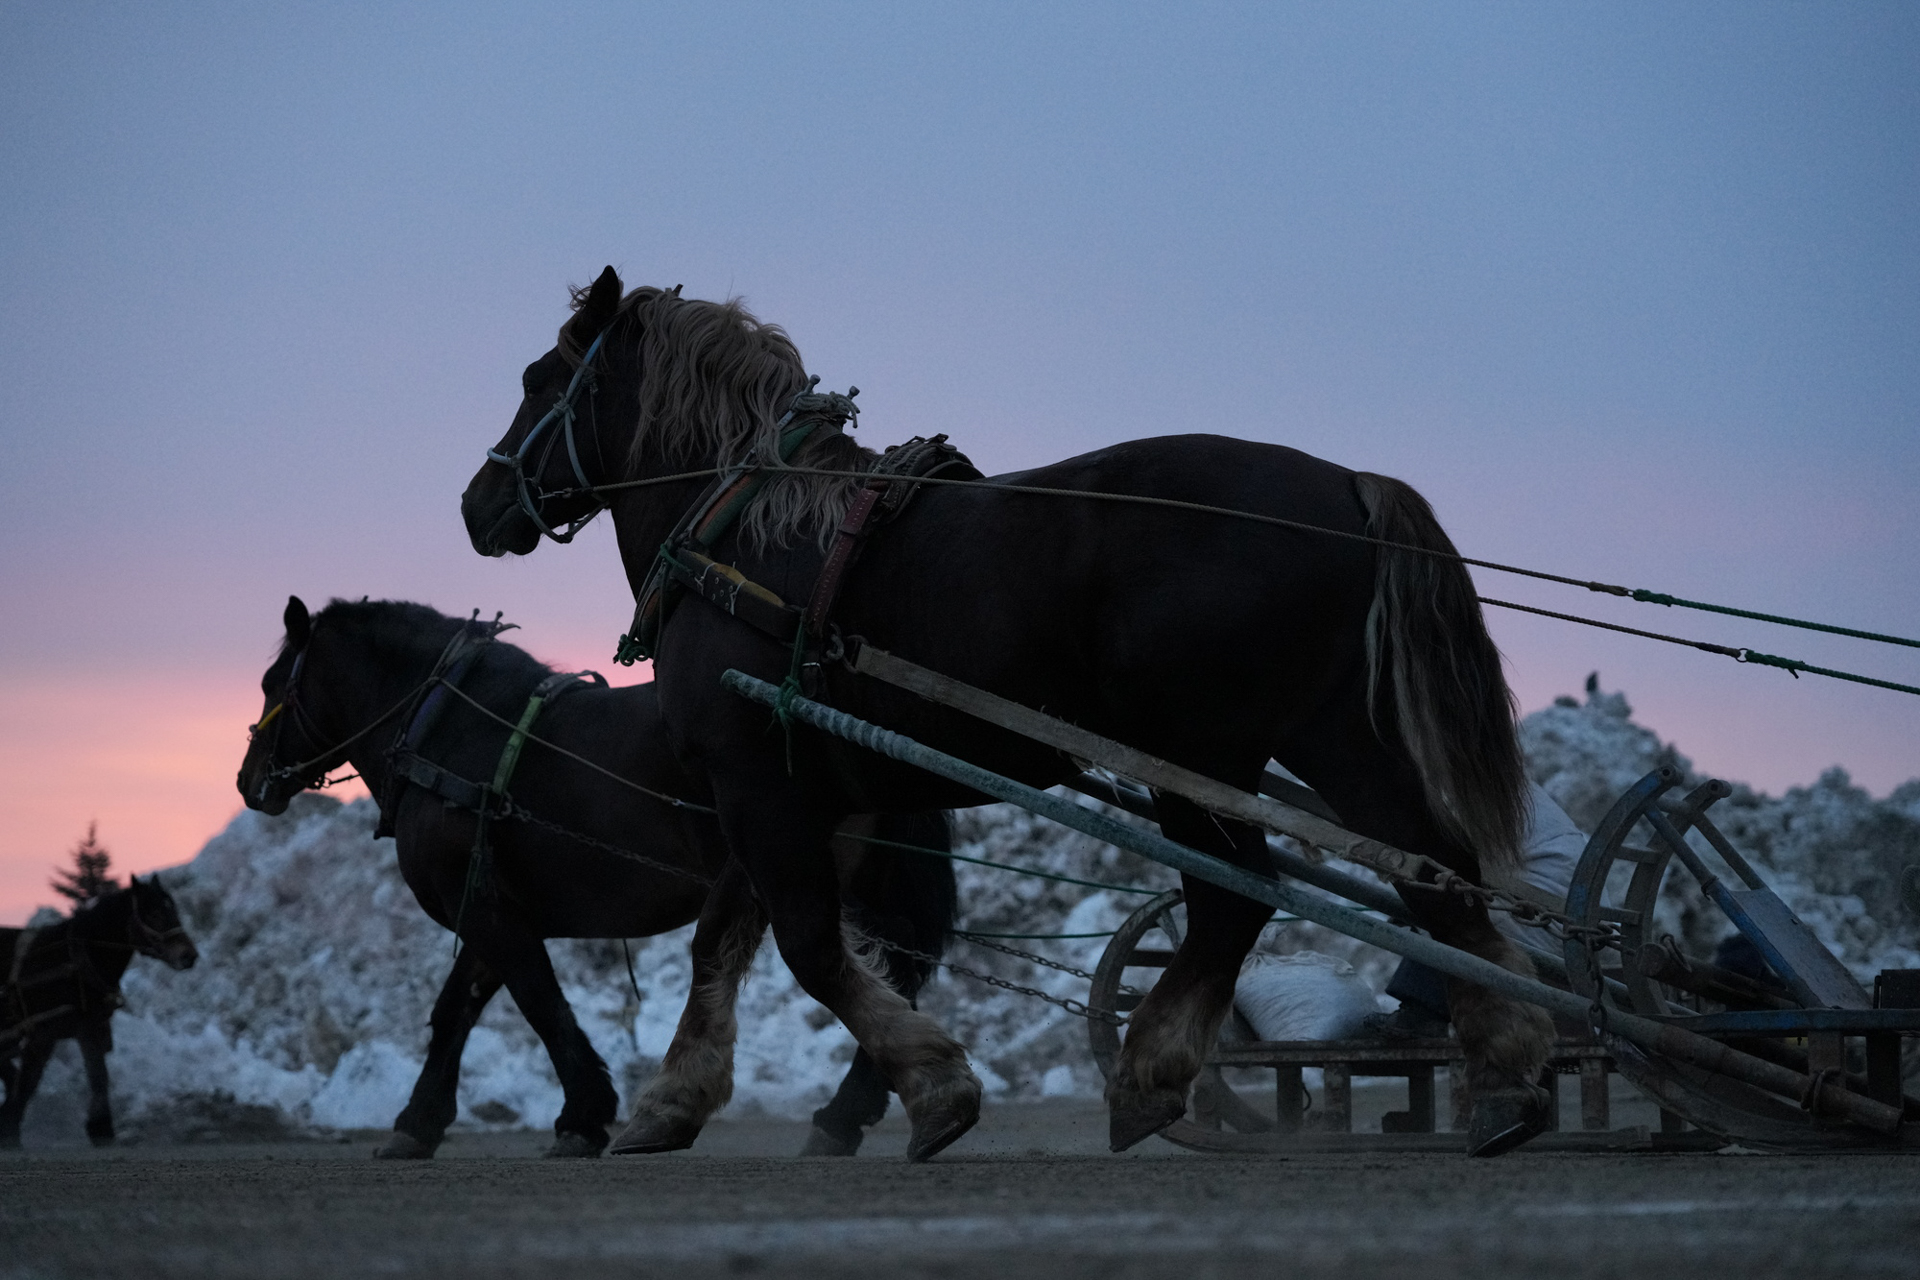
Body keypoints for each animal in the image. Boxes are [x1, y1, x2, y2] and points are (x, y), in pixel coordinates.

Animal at [1, 876, 199, 1148]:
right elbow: (27, 1084)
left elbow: (97, 1076)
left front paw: (100, 1128)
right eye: (154, 913)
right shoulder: (44, 1034)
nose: (189, 956)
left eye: (173, 909)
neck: (76, 960)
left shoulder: (83, 1028)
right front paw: (11, 1132)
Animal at [236, 595, 955, 1158]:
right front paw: (420, 1121)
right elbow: (456, 1009)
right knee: (899, 966)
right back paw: (867, 1106)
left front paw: (583, 1114)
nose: (248, 782)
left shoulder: (488, 912)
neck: (451, 728)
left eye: (274, 682)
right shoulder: (491, 906)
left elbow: (540, 1002)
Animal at [460, 267, 1551, 1162]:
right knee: (1432, 872)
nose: (477, 505)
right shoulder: (792, 791)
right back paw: (1507, 1073)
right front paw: (672, 1102)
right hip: (1334, 734)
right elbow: (723, 940)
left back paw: (1152, 1074)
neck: (742, 533)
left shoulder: (758, 783)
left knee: (1235, 894)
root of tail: (1346, 486)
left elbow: (810, 946)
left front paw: (937, 1087)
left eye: (539, 378)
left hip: (1195, 753)